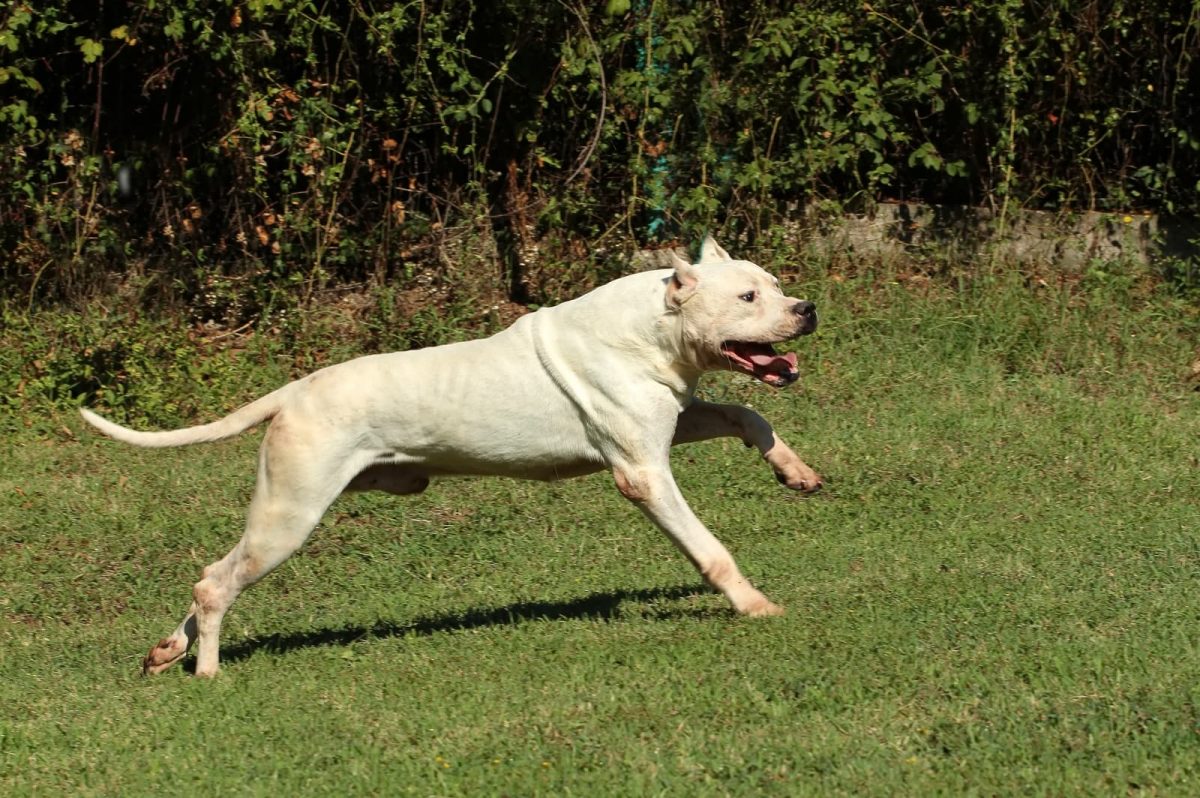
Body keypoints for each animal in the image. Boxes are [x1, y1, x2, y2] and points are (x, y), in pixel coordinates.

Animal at [82, 236, 816, 672]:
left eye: (775, 284)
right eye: (748, 297)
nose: (806, 308)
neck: (653, 327)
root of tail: (294, 390)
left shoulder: (672, 420)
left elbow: (746, 412)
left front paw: (794, 471)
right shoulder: (641, 472)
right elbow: (709, 549)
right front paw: (755, 606)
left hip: (283, 513)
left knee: (214, 574)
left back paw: (168, 650)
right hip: (289, 515)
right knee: (216, 582)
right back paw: (206, 668)